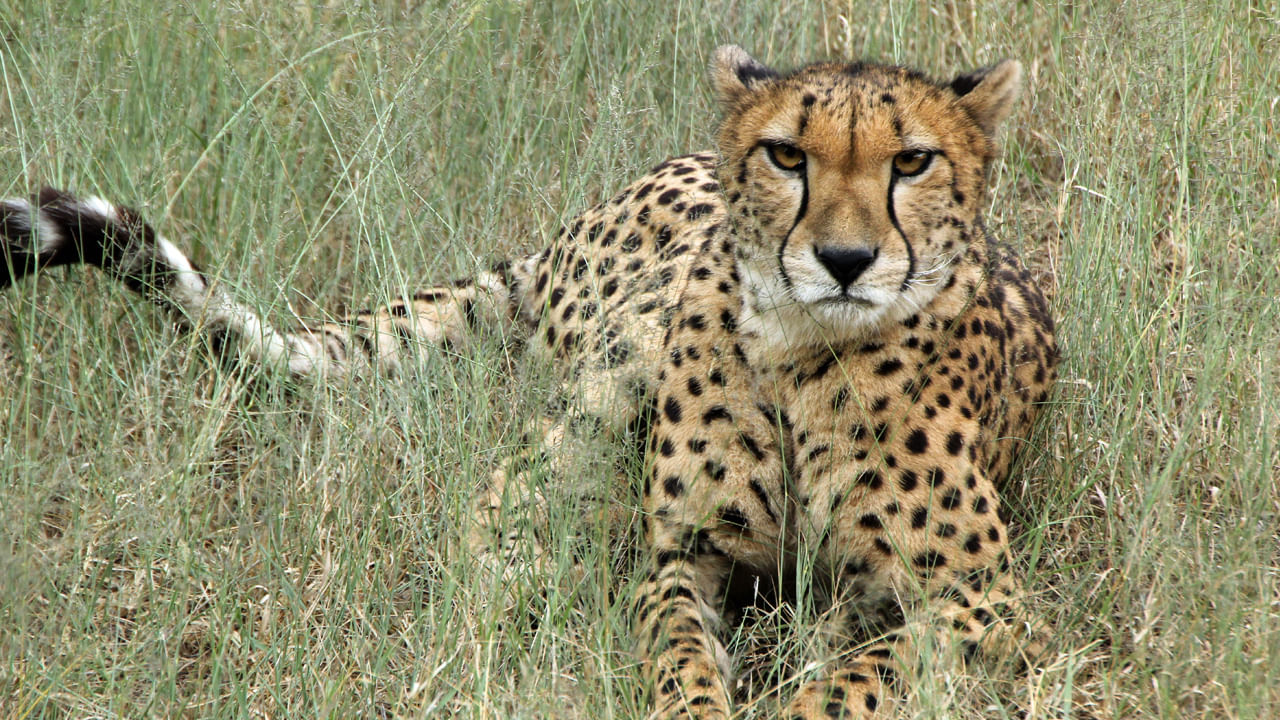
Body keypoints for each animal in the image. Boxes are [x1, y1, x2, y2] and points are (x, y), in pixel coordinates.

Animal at [1, 45, 1057, 718]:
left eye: (912, 160)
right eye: (786, 154)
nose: (843, 260)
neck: (802, 350)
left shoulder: (984, 599)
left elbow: (865, 673)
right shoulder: (679, 554)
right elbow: (679, 651)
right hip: (623, 352)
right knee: (502, 497)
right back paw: (483, 623)